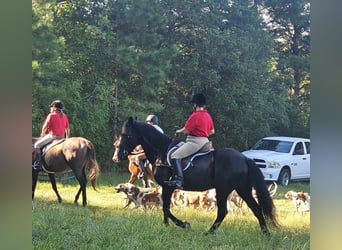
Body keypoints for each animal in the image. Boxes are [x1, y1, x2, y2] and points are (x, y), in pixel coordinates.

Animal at [117, 117, 278, 234]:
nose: (119, 155)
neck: (160, 152)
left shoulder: (168, 187)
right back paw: (265, 233)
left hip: (223, 190)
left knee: (223, 211)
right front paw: (167, 226)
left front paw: (183, 224)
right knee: (255, 208)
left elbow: (166, 208)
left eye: (126, 135)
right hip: (242, 189)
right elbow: (165, 207)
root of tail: (244, 158)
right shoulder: (164, 188)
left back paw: (209, 232)